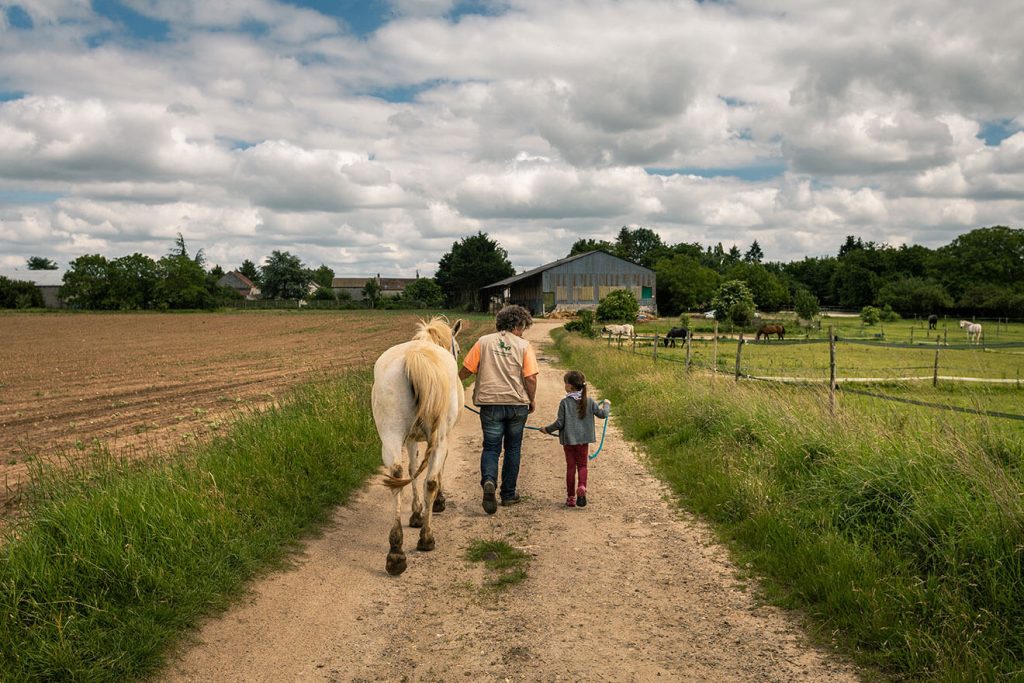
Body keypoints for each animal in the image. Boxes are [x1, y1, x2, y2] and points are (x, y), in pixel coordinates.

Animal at [372, 317, 464, 573]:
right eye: (458, 348)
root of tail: (416, 356)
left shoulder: (412, 438)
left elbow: (412, 470)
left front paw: (415, 513)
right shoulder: (443, 438)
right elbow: (434, 473)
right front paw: (435, 504)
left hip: (390, 435)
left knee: (396, 474)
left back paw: (396, 553)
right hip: (439, 438)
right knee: (430, 480)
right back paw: (426, 538)